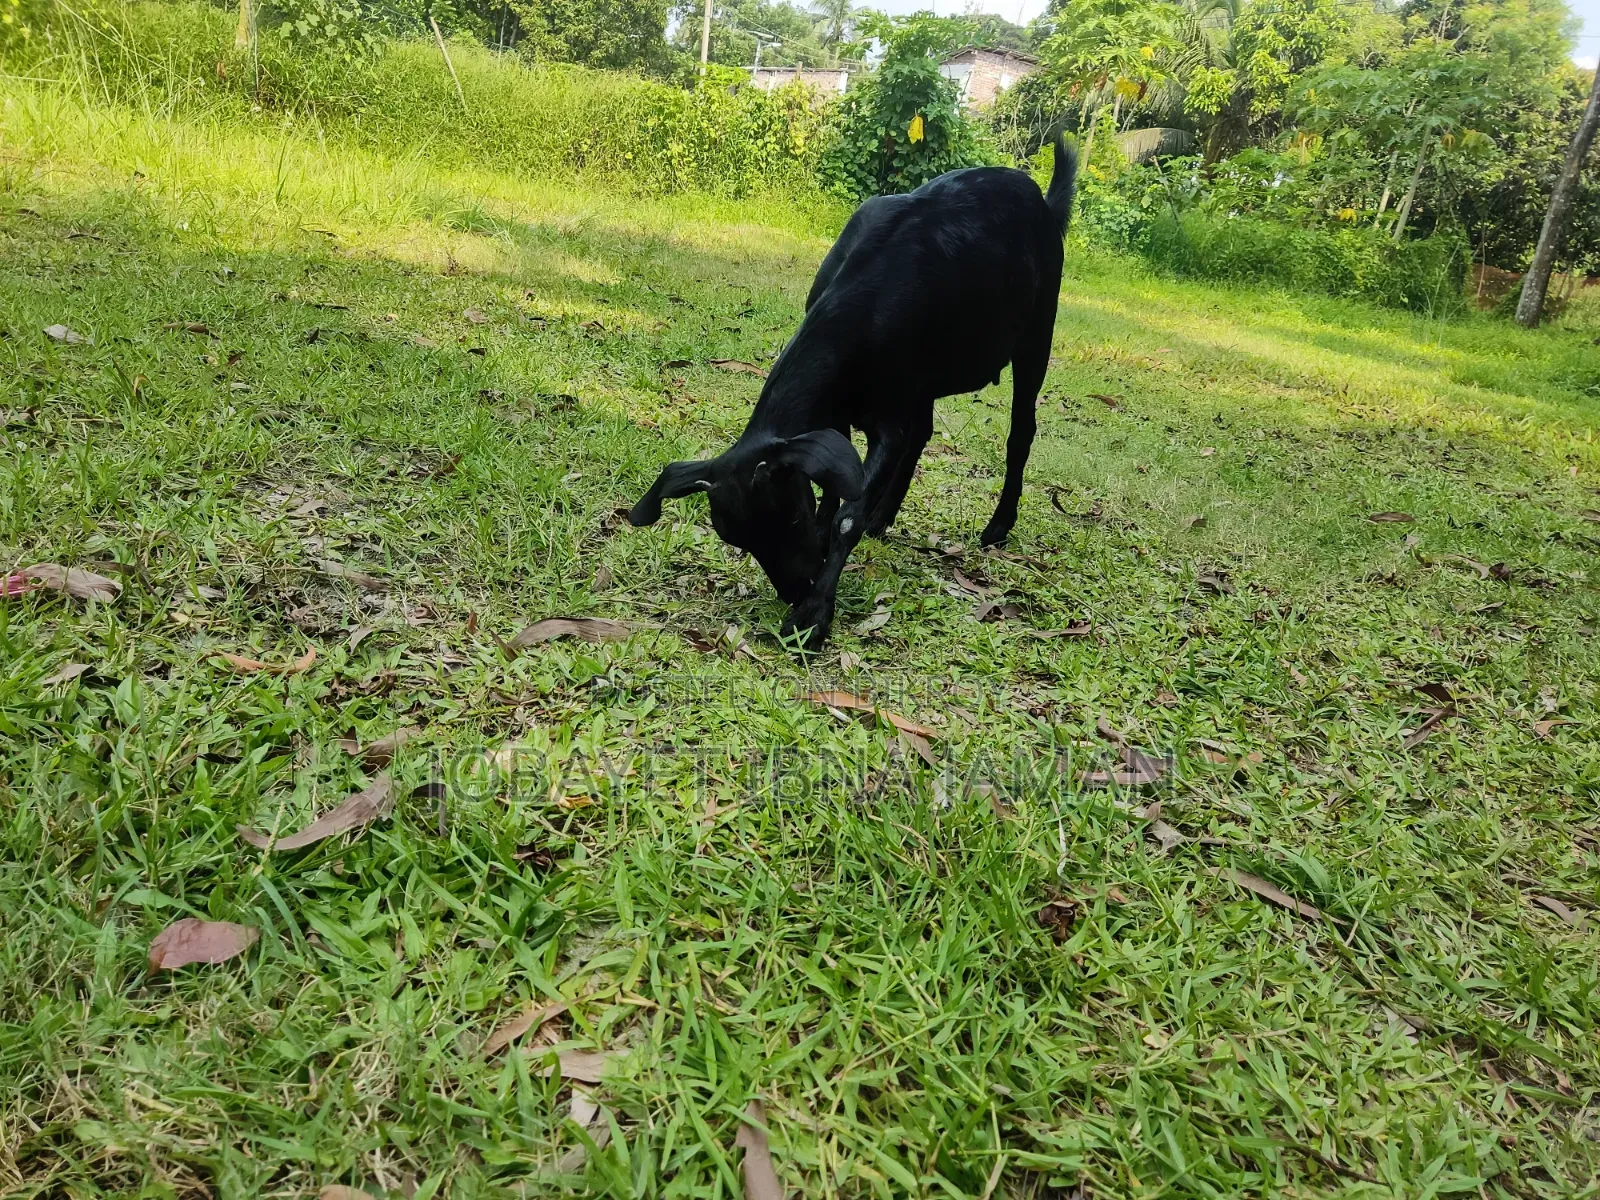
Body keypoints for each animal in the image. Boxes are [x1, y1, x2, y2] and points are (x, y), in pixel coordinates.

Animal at [629, 136, 1078, 648]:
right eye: (738, 539)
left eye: (790, 516)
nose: (795, 587)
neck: (870, 296)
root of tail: (1041, 199)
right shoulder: (839, 412)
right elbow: (837, 484)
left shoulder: (887, 418)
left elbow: (849, 512)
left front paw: (814, 612)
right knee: (923, 433)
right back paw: (884, 516)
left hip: (1035, 336)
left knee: (1020, 432)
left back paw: (998, 524)